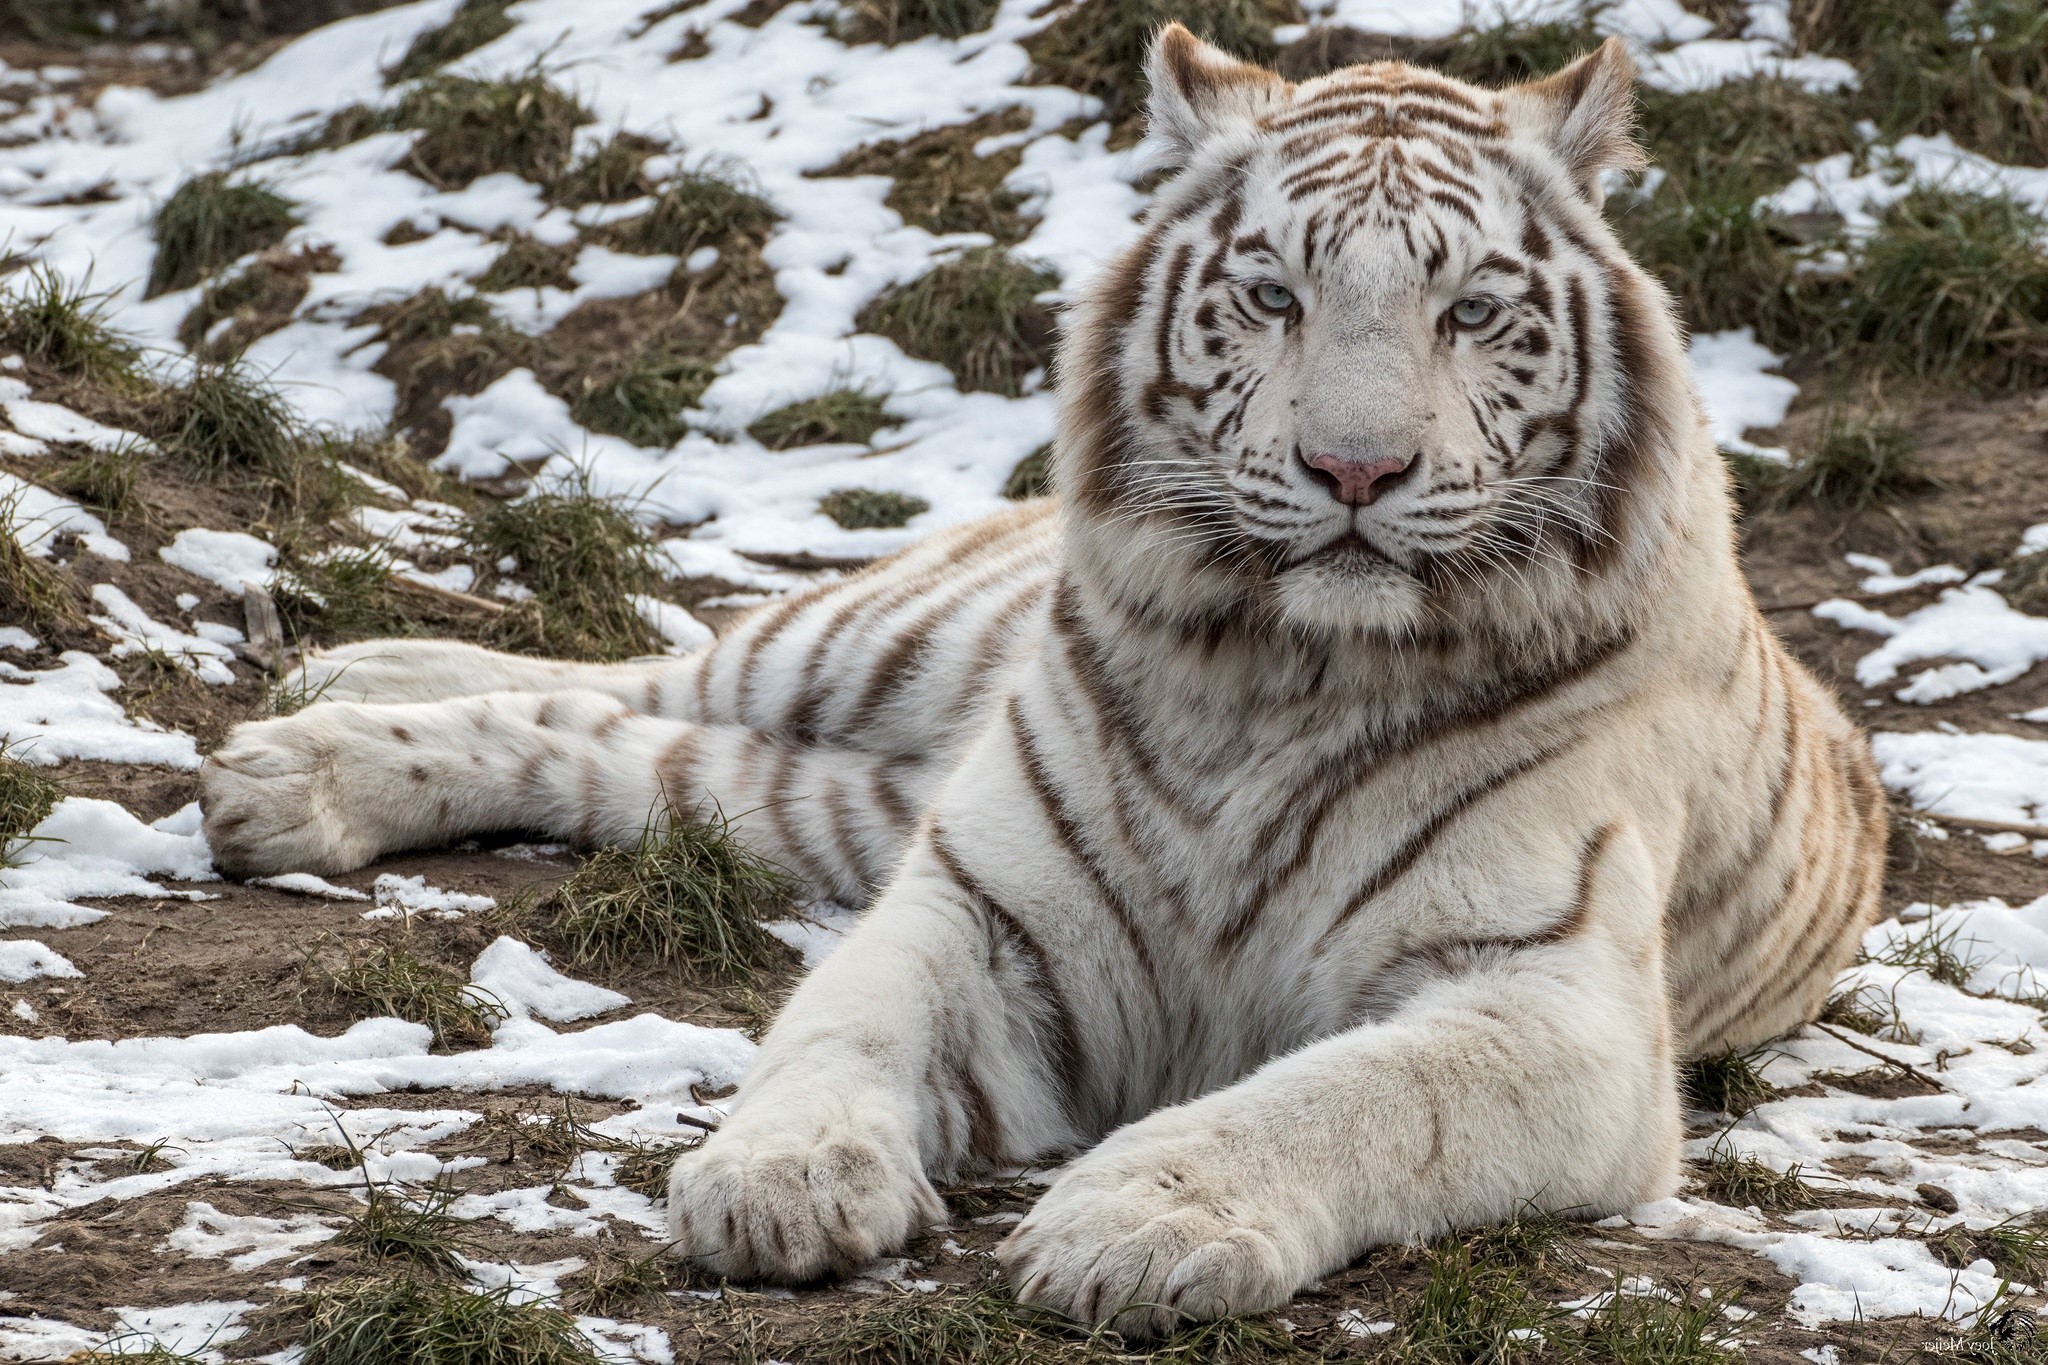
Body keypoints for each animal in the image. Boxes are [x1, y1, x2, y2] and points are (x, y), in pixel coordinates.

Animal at [198, 27, 1885, 1332]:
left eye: (1471, 309)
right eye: (1273, 295)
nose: (1354, 470)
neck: (1285, 672)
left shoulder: (1554, 1001)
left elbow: (1348, 1095)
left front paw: (1133, 1223)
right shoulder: (980, 899)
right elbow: (840, 1021)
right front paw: (779, 1175)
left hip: (822, 801)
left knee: (613, 749)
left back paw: (295, 767)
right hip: (870, 650)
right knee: (648, 668)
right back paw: (315, 713)